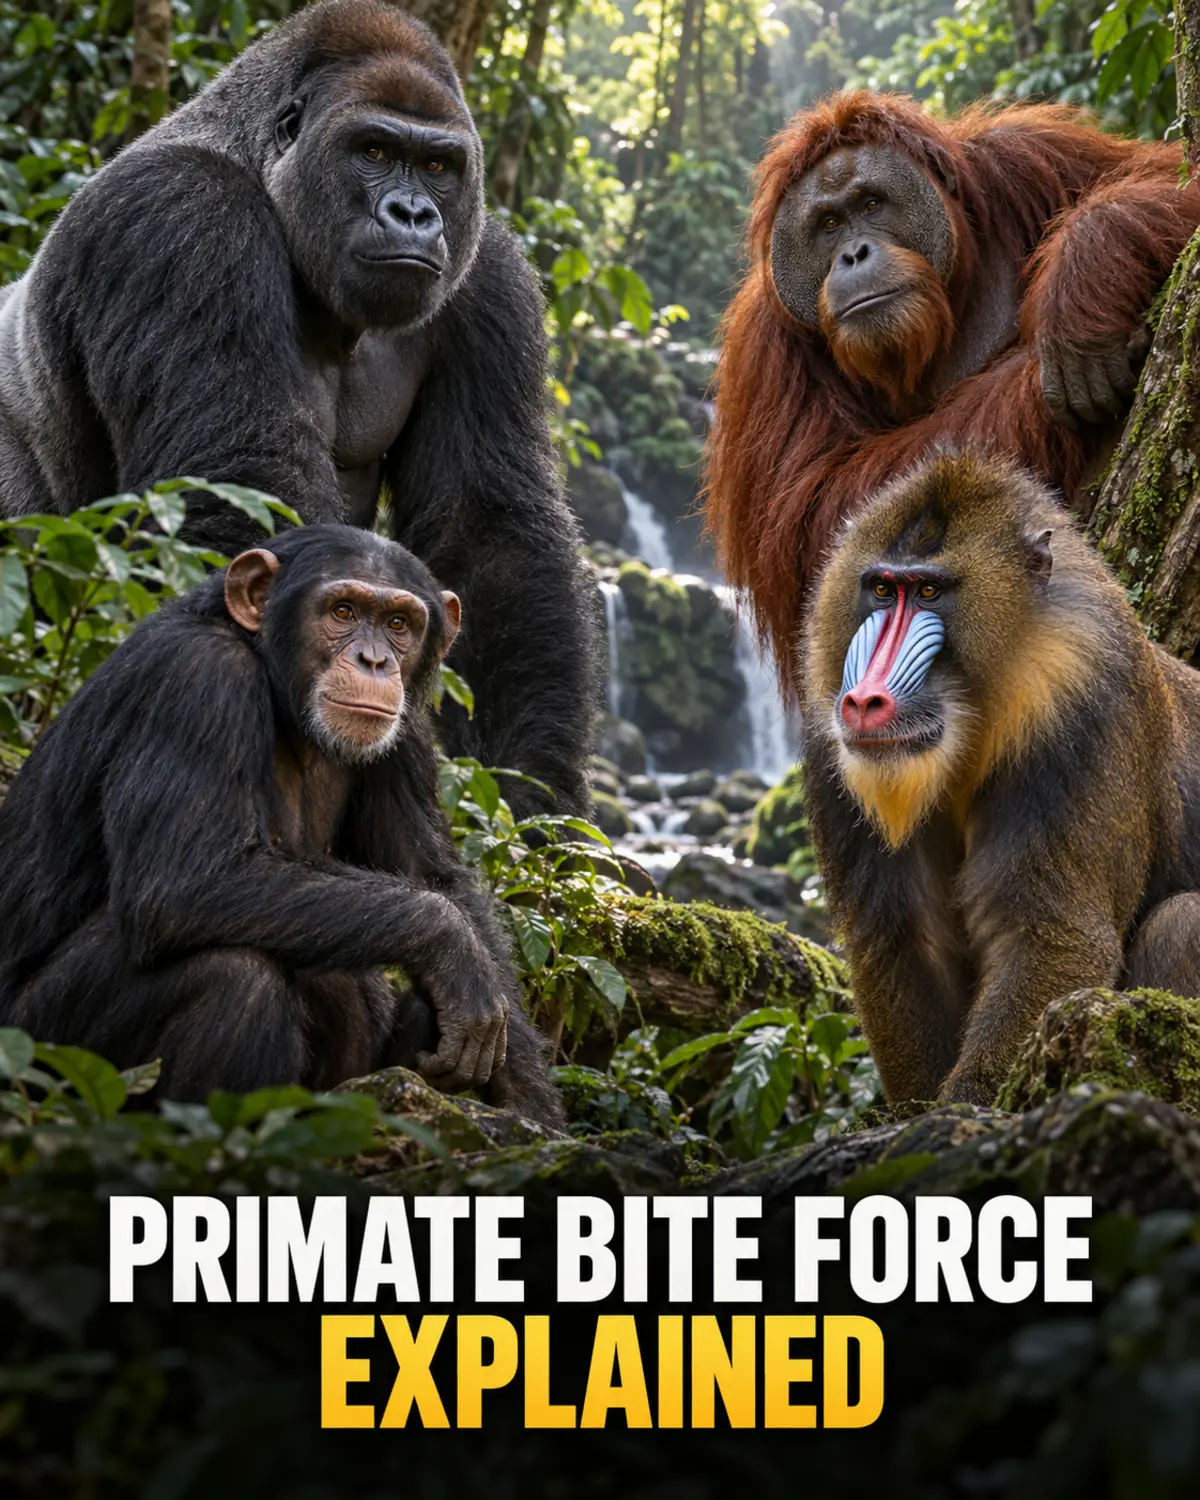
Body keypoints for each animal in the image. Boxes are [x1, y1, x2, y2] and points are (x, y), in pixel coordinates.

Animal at [801, 449, 1200, 1106]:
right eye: (883, 589)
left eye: (929, 591)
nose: (864, 701)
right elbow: (902, 942)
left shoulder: (1077, 711)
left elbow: (1047, 934)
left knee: (1180, 924)